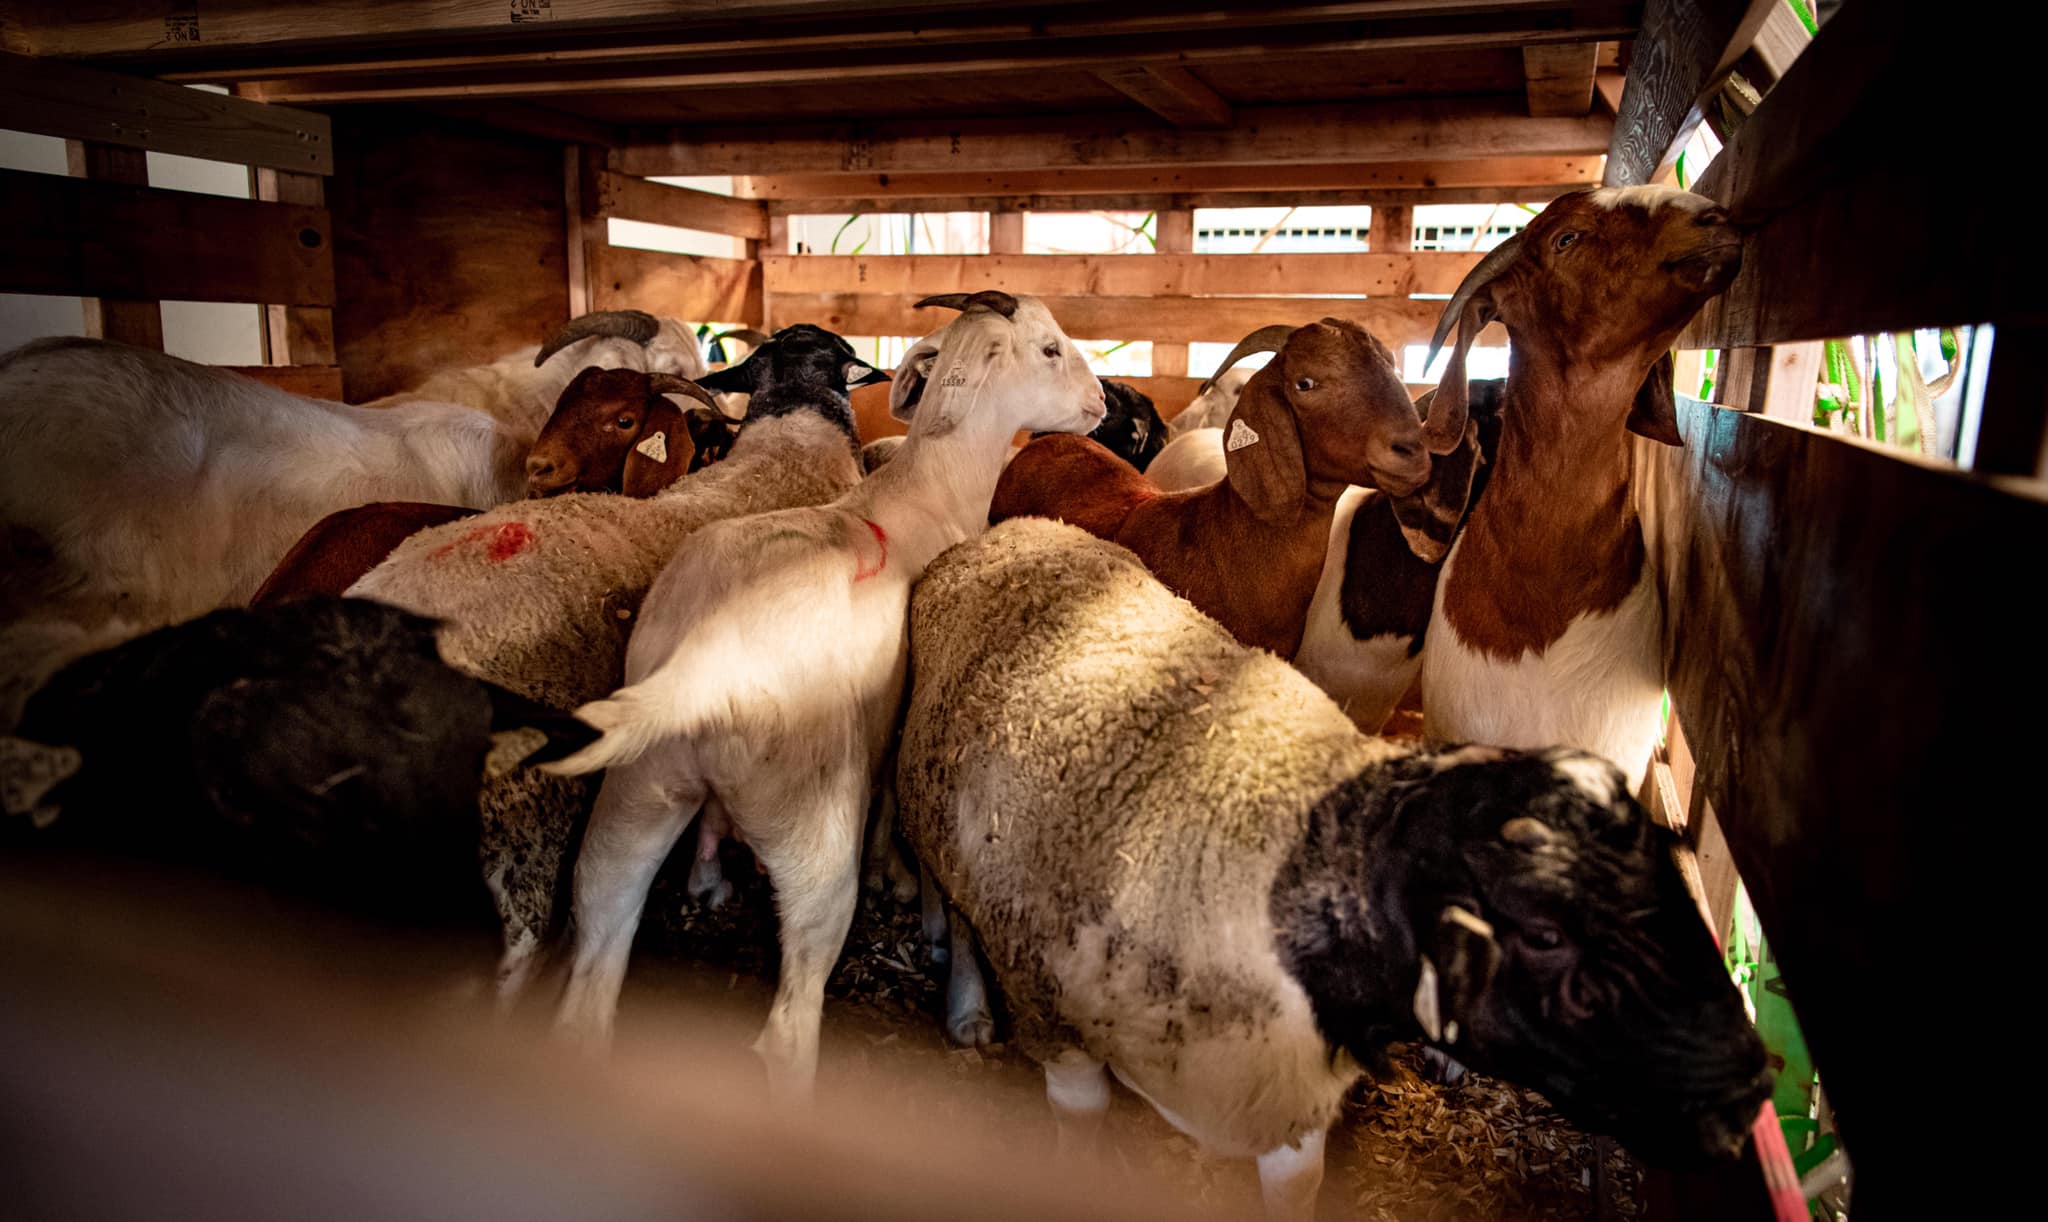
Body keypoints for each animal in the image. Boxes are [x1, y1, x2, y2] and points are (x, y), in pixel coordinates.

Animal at [541, 291, 1105, 1100]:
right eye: (1052, 349)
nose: (1100, 403)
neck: (931, 492)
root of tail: (702, 661)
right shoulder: (897, 722)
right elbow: (894, 810)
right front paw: (904, 889)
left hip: (634, 798)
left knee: (591, 968)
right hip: (812, 820)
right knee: (792, 1015)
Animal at [895, 518, 1771, 1221]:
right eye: (1545, 933)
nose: (1749, 1092)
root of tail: (1015, 528)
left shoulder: (1292, 1087)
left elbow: (1295, 1184)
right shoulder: (1055, 1014)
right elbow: (1077, 1127)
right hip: (934, 798)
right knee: (956, 907)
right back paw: (965, 1005)